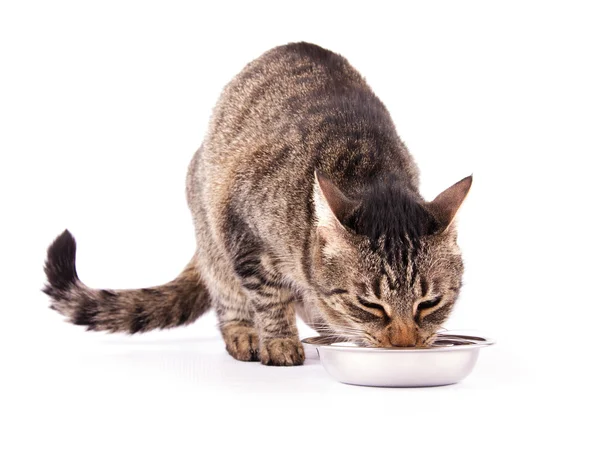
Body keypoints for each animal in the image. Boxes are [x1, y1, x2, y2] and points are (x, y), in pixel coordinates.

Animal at [44, 42, 472, 366]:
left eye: (429, 303)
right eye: (370, 304)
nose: (404, 344)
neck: (372, 172)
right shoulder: (242, 233)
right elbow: (269, 297)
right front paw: (279, 341)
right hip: (212, 233)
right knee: (228, 298)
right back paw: (245, 334)